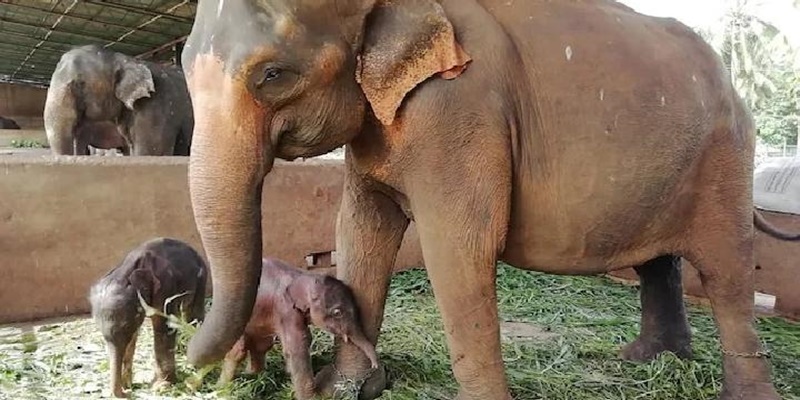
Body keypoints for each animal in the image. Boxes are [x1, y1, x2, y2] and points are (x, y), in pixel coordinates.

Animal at [89, 238, 208, 396]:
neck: (126, 272)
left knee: (193, 313)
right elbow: (133, 337)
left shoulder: (165, 286)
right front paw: (128, 384)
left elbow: (164, 327)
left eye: (126, 325)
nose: (127, 393)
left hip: (202, 278)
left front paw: (161, 387)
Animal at [217, 258, 380, 398]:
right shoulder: (285, 310)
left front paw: (289, 375)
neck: (303, 276)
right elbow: (297, 346)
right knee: (238, 350)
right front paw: (310, 396)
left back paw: (252, 374)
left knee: (261, 345)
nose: (375, 366)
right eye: (337, 313)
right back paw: (222, 387)